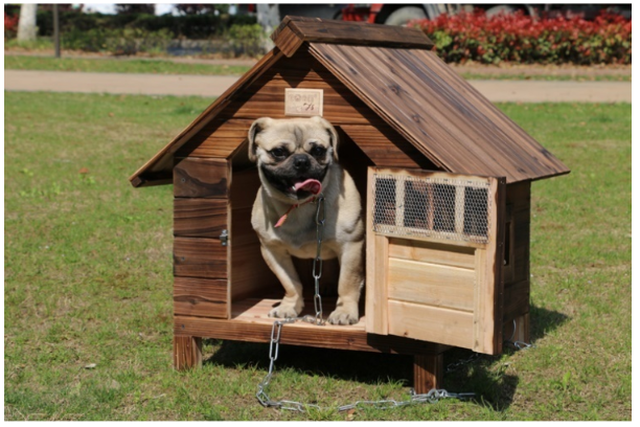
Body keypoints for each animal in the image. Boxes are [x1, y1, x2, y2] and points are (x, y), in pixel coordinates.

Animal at [246, 116, 362, 324]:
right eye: (278, 152)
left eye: (318, 150)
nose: (301, 161)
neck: (299, 206)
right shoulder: (272, 251)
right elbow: (290, 282)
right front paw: (289, 305)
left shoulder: (351, 246)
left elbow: (347, 282)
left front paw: (344, 311)